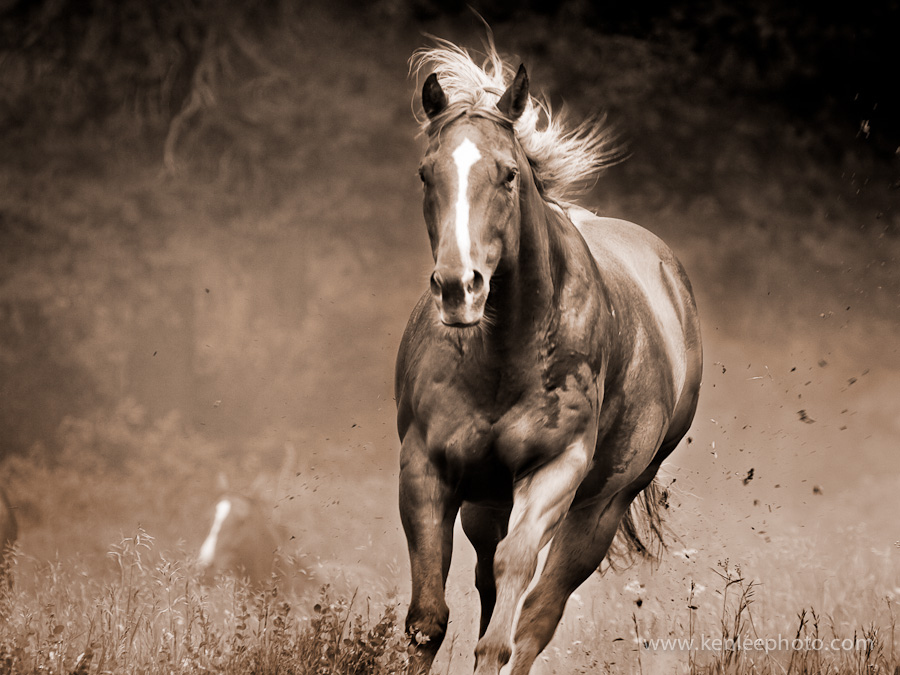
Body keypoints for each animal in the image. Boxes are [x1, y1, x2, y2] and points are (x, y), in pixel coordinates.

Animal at [395, 41, 702, 675]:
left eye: (508, 174)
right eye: (426, 173)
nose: (459, 287)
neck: (504, 354)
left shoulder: (556, 469)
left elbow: (516, 584)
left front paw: (492, 653)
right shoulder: (425, 467)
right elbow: (427, 620)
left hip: (601, 509)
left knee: (538, 612)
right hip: (485, 500)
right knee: (491, 583)